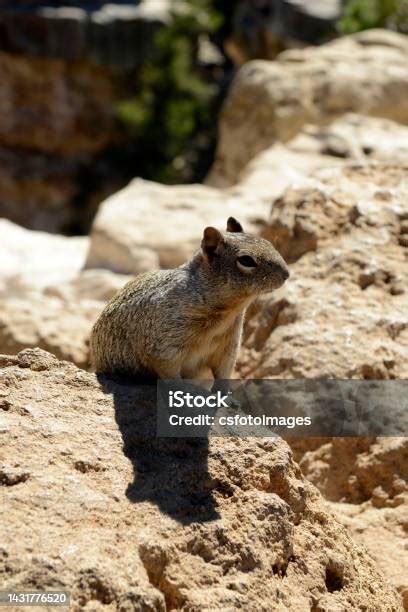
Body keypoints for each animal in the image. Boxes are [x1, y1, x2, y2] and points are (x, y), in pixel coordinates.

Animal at [91, 218, 288, 382]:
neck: (228, 312)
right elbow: (169, 373)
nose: (286, 274)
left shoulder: (228, 348)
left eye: (269, 243)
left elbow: (223, 373)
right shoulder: (165, 347)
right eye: (246, 260)